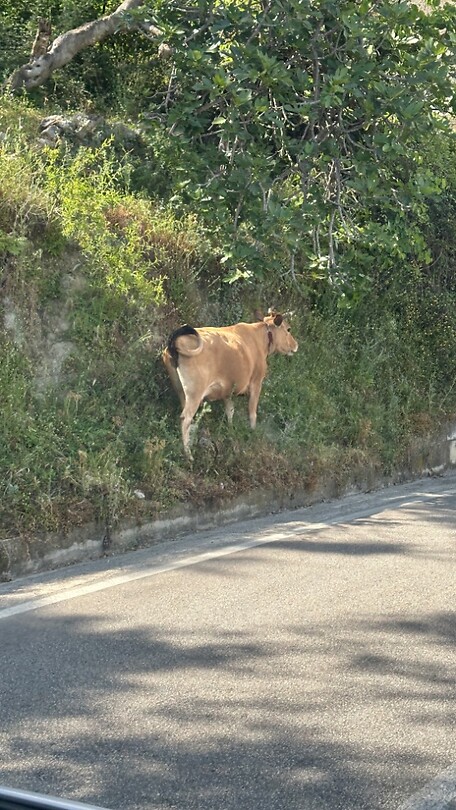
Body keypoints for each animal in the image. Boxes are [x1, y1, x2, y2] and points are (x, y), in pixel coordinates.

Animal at [162, 310, 298, 457]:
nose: (296, 344)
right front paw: (252, 431)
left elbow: (230, 410)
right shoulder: (256, 382)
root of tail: (176, 341)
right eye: (288, 329)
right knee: (185, 418)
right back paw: (188, 455)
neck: (260, 337)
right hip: (195, 393)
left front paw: (231, 429)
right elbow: (252, 411)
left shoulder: (227, 389)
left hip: (181, 390)